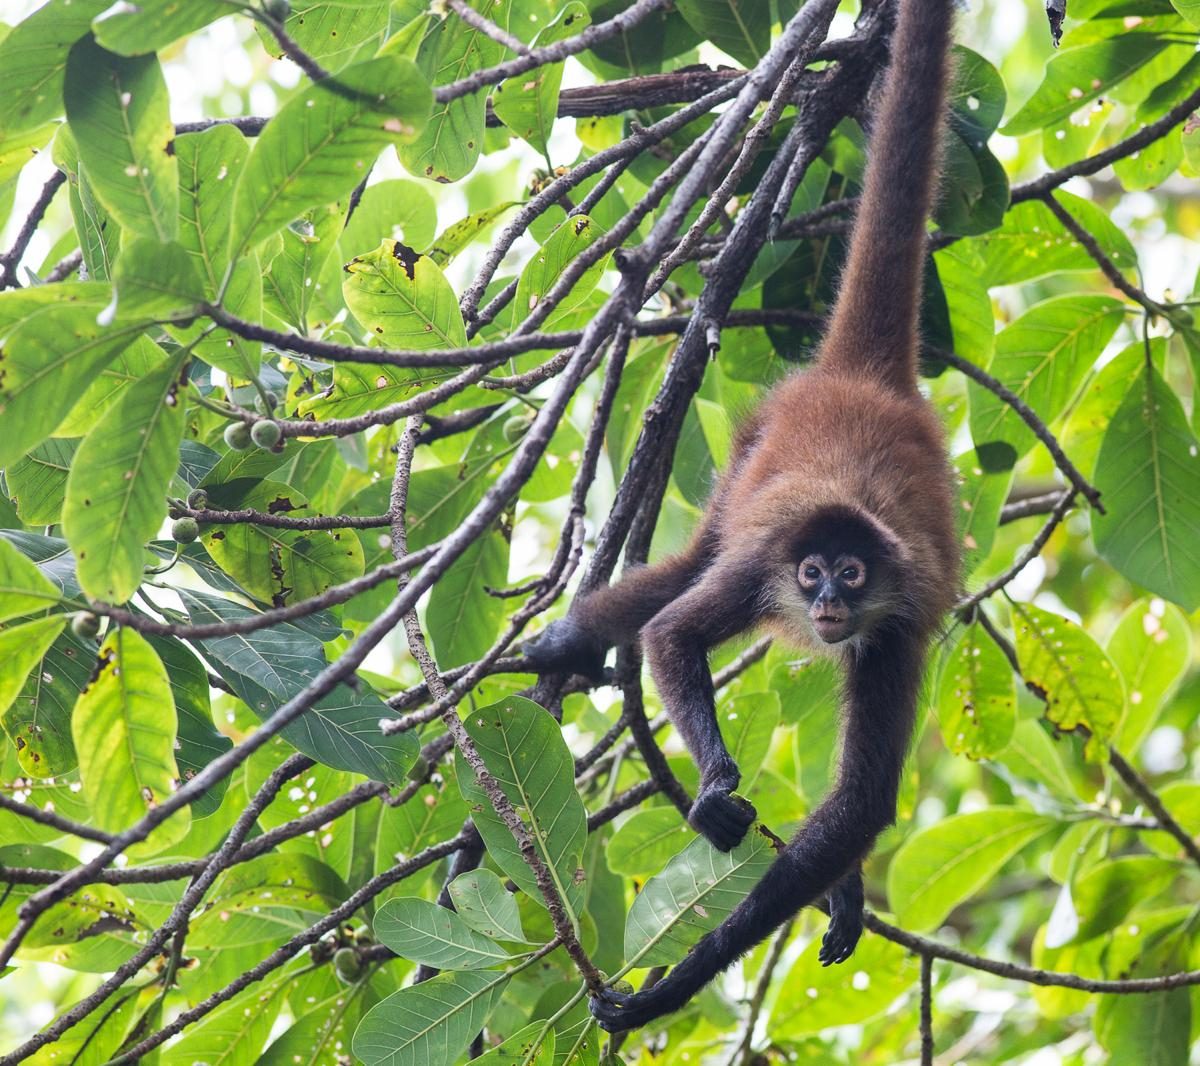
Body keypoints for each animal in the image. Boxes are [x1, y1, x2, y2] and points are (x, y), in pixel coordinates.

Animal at [522, 0, 960, 1033]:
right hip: (753, 451)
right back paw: (573, 637)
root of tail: (864, 383)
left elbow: (862, 802)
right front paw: (717, 795)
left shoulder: (898, 616)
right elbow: (674, 632)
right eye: (814, 573)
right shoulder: (769, 559)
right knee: (683, 577)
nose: (829, 601)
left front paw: (679, 979)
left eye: (852, 574)